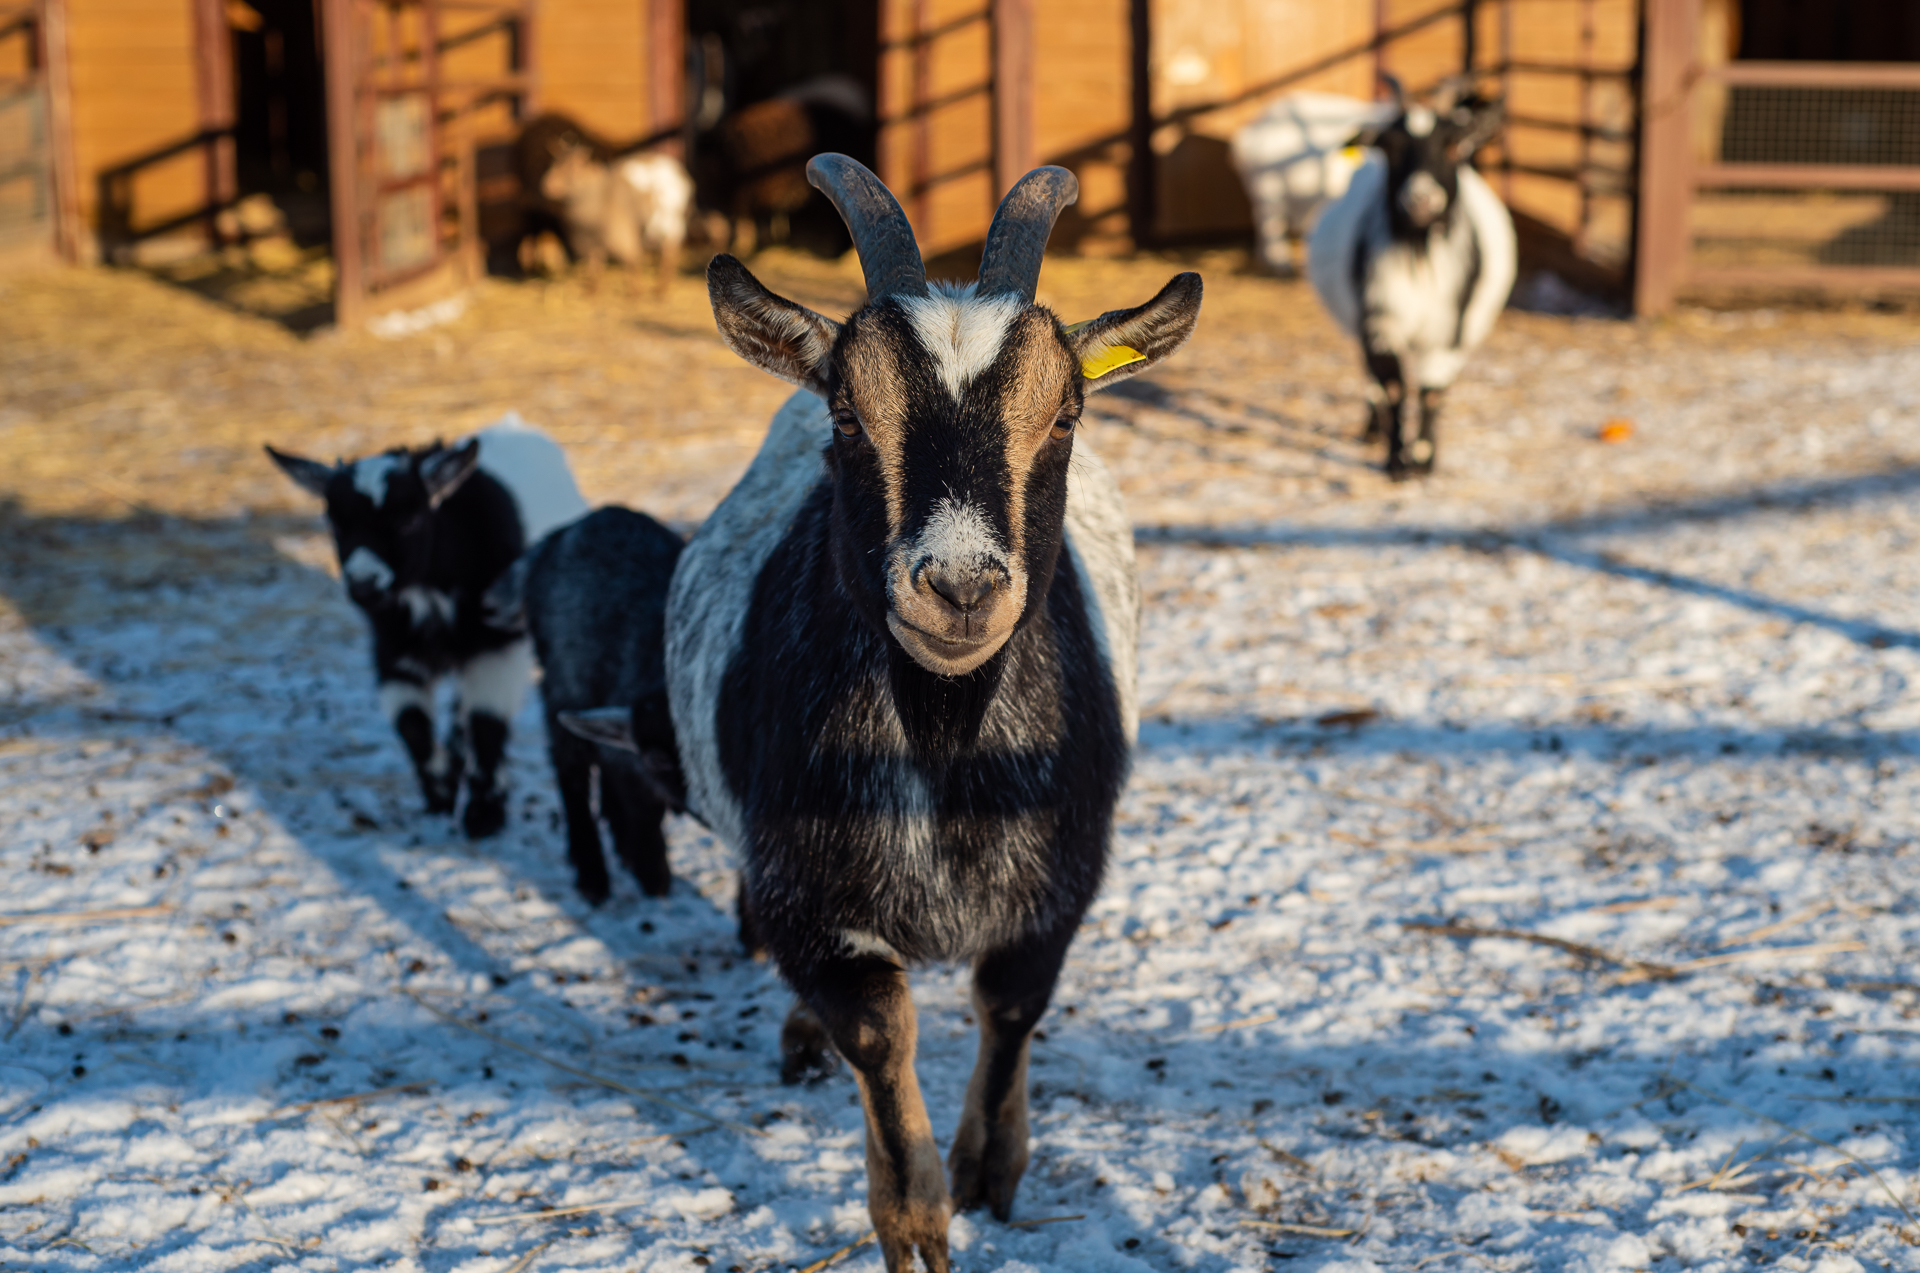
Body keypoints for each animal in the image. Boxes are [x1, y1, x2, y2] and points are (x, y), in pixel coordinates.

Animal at [266, 412, 587, 840]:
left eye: (409, 518)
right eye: (335, 523)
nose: (364, 584)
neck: (431, 590)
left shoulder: (499, 644)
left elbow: (487, 722)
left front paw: (484, 813)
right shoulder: (393, 648)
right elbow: (412, 725)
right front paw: (442, 792)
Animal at [668, 156, 1190, 1273]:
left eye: (1065, 415)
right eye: (848, 415)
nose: (957, 586)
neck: (951, 746)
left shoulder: (1063, 874)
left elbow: (1011, 1004)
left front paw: (992, 1170)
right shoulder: (805, 891)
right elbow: (879, 1033)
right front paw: (913, 1222)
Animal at [1305, 75, 1512, 483]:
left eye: (1453, 143)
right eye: (1390, 147)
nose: (1421, 199)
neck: (1418, 253)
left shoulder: (1449, 328)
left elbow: (1431, 390)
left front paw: (1423, 460)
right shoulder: (1378, 322)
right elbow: (1394, 387)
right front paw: (1397, 461)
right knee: (1371, 378)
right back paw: (1372, 430)